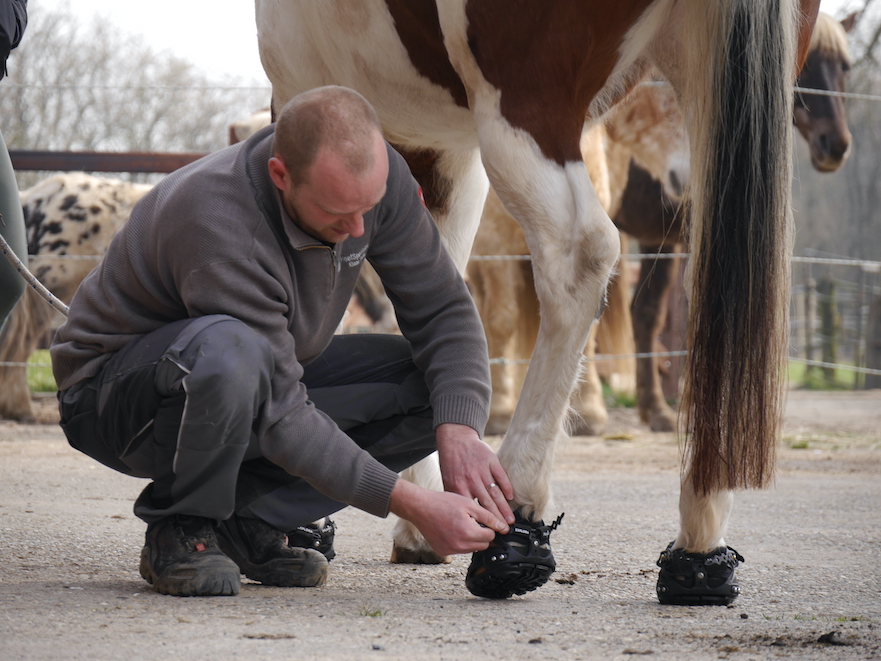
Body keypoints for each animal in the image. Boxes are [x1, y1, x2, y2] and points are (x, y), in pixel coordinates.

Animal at [253, 0, 820, 600]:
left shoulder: (304, 89)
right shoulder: (444, 151)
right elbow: (434, 294)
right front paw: (417, 525)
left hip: (526, 101)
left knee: (579, 255)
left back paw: (516, 515)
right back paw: (701, 546)